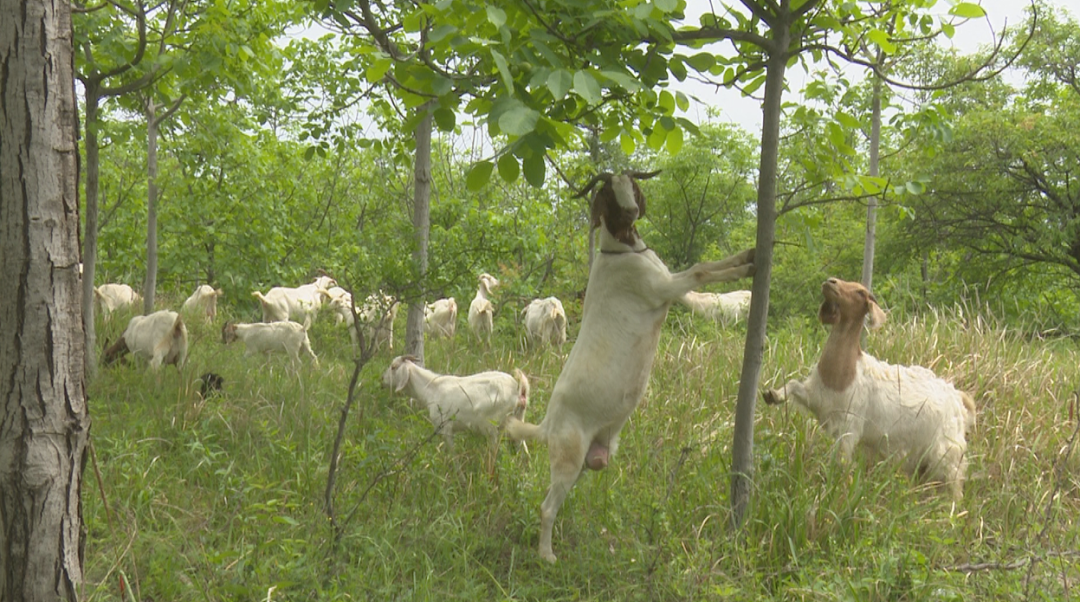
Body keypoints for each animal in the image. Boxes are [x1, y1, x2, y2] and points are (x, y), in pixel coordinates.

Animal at [382, 354, 529, 447]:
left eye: (393, 367)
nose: (382, 380)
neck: (432, 389)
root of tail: (518, 389)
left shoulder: (445, 428)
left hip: (493, 427)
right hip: (519, 418)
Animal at [503, 166, 751, 562]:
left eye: (632, 186)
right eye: (609, 193)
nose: (634, 211)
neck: (622, 253)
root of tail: (547, 426)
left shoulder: (669, 285)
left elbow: (705, 274)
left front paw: (749, 255)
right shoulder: (659, 288)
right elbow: (700, 270)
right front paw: (750, 265)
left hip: (586, 461)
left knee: (557, 500)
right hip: (568, 456)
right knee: (546, 507)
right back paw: (547, 555)